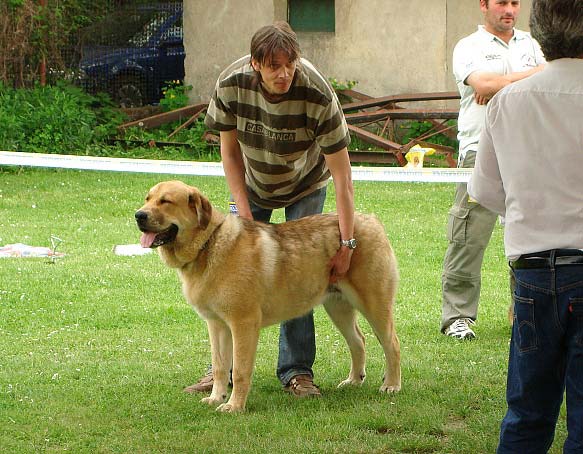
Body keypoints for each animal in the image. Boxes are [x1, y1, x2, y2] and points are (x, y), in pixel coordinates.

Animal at [137, 180, 402, 412]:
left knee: (392, 343)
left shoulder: (243, 324)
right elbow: (221, 366)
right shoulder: (216, 325)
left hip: (374, 304)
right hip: (338, 308)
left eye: (166, 201)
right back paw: (354, 380)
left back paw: (391, 385)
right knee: (358, 341)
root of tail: (370, 220)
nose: (138, 215)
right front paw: (215, 398)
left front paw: (234, 406)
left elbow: (240, 371)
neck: (208, 246)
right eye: (148, 199)